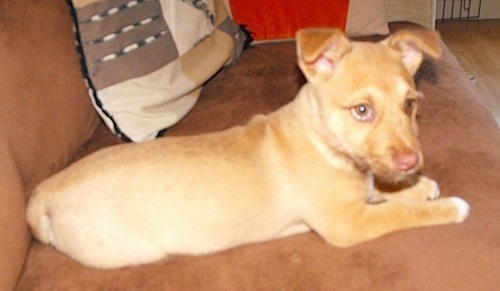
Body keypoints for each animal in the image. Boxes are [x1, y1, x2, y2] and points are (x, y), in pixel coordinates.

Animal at [26, 28, 468, 270]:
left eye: (410, 104)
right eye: (362, 110)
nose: (412, 160)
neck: (321, 140)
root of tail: (44, 193)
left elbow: (383, 189)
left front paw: (418, 184)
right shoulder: (348, 222)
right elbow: (400, 213)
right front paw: (448, 205)